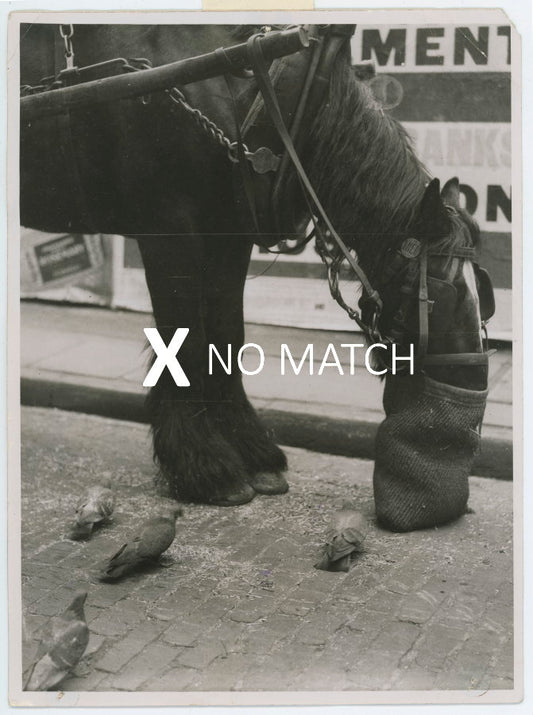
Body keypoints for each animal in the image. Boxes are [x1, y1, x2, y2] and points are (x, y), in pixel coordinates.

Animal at [20, 22, 494, 532]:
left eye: (482, 295)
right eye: (436, 297)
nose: (470, 393)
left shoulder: (228, 235)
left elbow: (227, 335)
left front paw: (252, 450)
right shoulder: (168, 229)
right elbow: (185, 341)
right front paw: (205, 467)